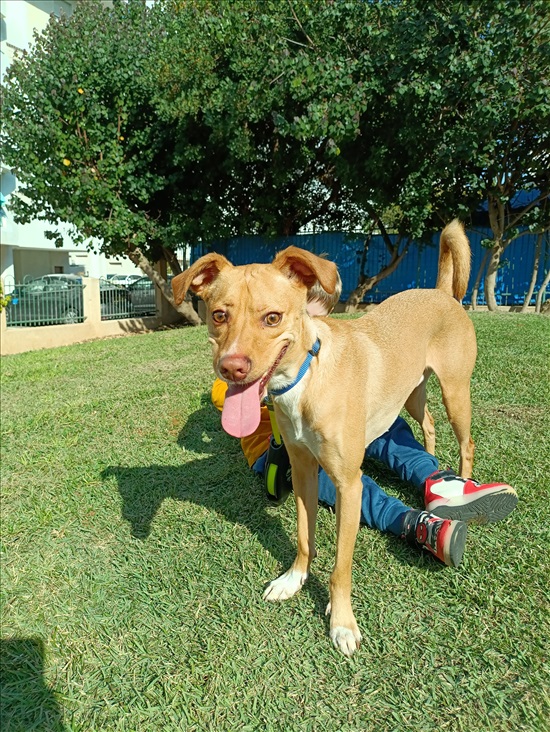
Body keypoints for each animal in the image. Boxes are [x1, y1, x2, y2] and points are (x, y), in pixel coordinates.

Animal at [174, 222, 478, 656]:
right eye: (219, 315)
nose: (231, 368)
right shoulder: (303, 470)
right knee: (430, 424)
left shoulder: (348, 483)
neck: (305, 379)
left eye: (272, 317)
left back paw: (465, 487)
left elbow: (341, 567)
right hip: (413, 392)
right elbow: (303, 537)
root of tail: (440, 293)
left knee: (466, 442)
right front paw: (293, 579)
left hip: (456, 390)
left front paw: (342, 622)